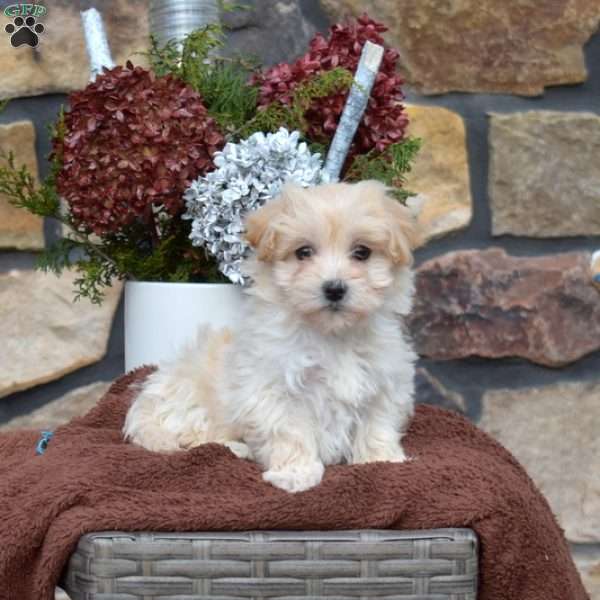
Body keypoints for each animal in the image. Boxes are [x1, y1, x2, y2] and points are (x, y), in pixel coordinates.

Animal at [123, 182, 420, 492]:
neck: (331, 335)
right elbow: (290, 433)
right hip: (192, 400)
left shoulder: (384, 382)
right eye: (304, 252)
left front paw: (382, 460)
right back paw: (237, 448)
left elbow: (377, 424)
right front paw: (296, 474)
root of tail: (146, 399)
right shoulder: (276, 390)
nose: (334, 289)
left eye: (362, 252)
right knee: (196, 437)